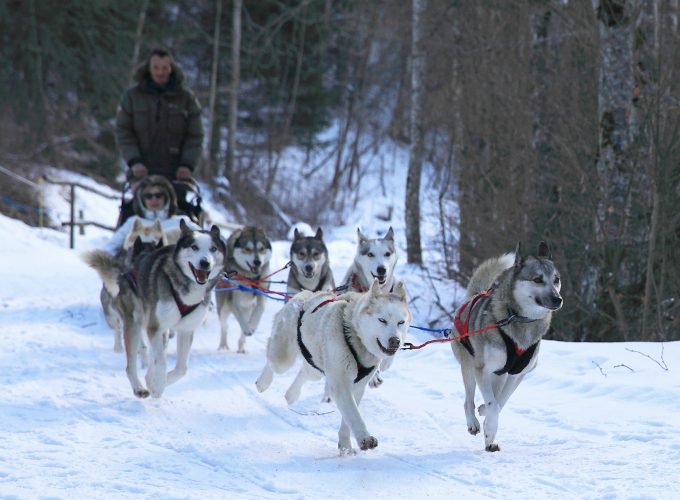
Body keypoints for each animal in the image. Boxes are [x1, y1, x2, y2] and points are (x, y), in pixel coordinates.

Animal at [83, 221, 224, 400]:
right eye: (194, 247)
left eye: (213, 248)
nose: (205, 263)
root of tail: (126, 271)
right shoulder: (155, 327)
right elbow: (161, 362)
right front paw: (157, 385)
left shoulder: (185, 330)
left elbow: (181, 369)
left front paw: (155, 381)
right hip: (134, 323)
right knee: (131, 363)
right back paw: (139, 387)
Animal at [256, 280, 412, 456]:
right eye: (382, 320)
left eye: (401, 322)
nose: (395, 341)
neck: (356, 338)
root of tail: (304, 294)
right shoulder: (340, 384)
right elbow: (353, 414)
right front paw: (365, 438)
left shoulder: (357, 387)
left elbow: (347, 419)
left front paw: (345, 446)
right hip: (283, 358)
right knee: (272, 361)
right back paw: (263, 382)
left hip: (316, 366)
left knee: (304, 373)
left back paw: (291, 395)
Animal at [452, 240, 564, 452]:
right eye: (537, 279)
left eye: (556, 280)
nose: (557, 299)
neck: (521, 319)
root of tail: (472, 298)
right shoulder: (482, 369)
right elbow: (493, 404)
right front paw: (488, 429)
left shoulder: (517, 373)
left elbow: (500, 402)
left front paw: (488, 425)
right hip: (469, 366)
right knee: (468, 400)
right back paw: (473, 422)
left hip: (500, 374)